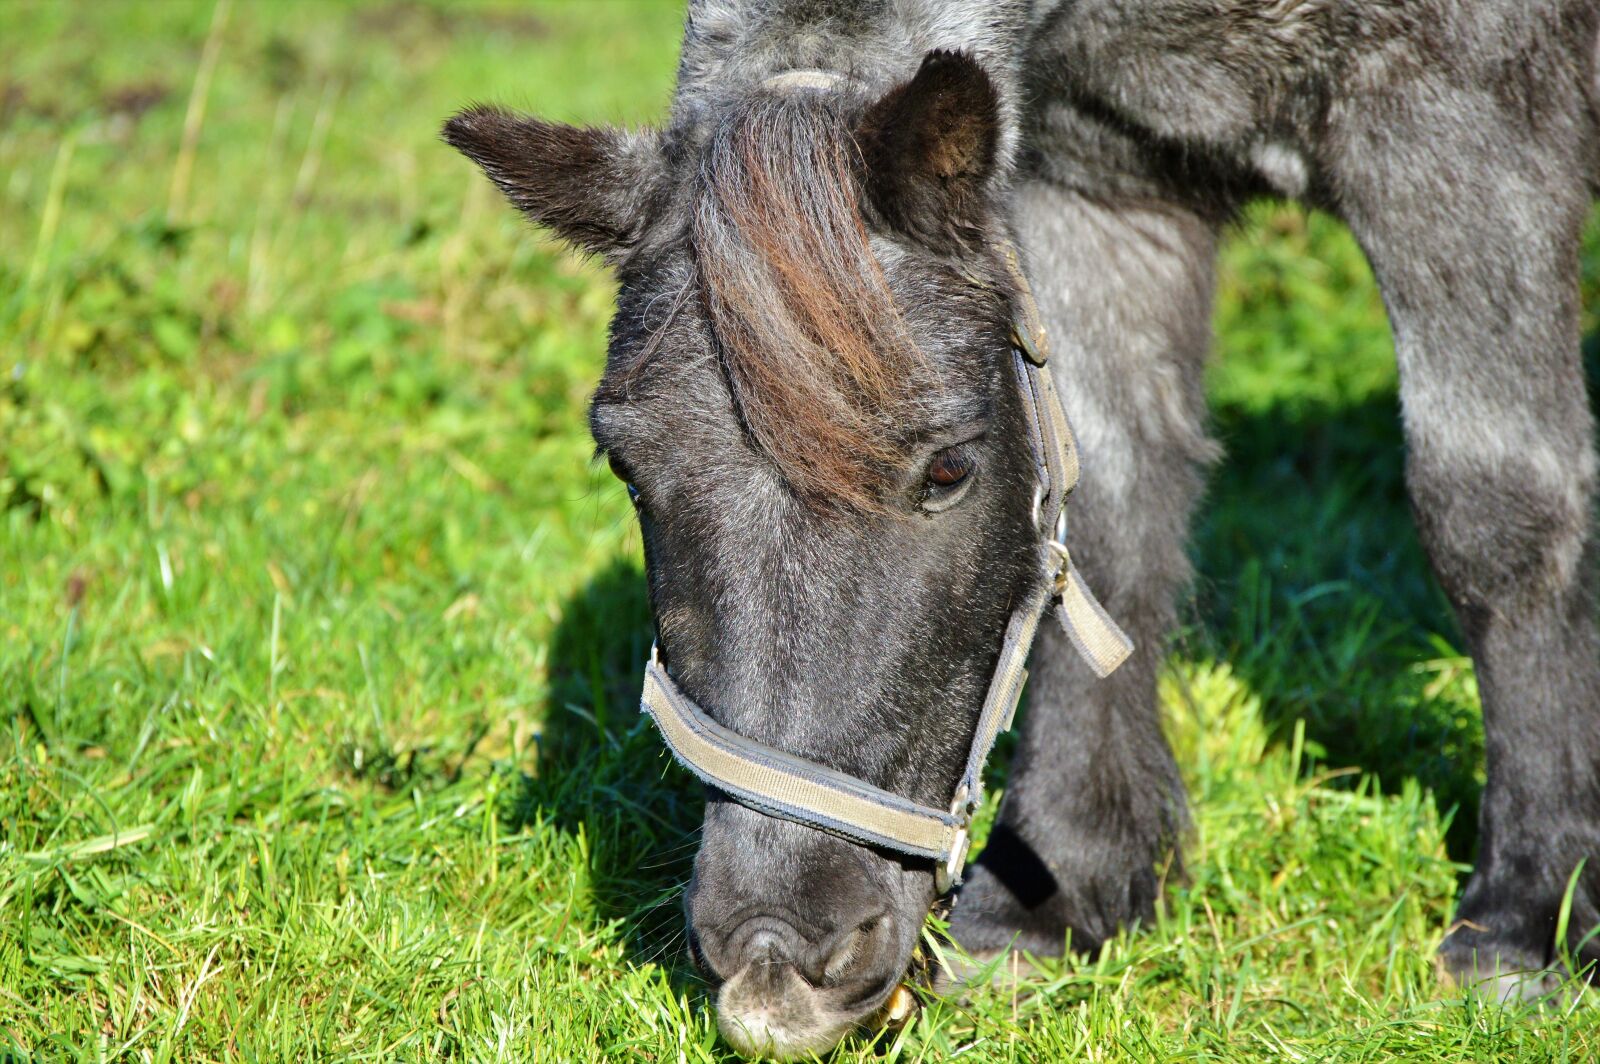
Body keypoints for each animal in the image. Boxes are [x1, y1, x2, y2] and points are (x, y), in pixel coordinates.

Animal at [445, 1, 1600, 1058]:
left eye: (948, 468)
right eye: (622, 462)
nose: (778, 959)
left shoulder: (1463, 132)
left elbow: (1496, 511)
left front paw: (1529, 915)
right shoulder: (1103, 185)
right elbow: (1109, 510)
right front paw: (1064, 880)